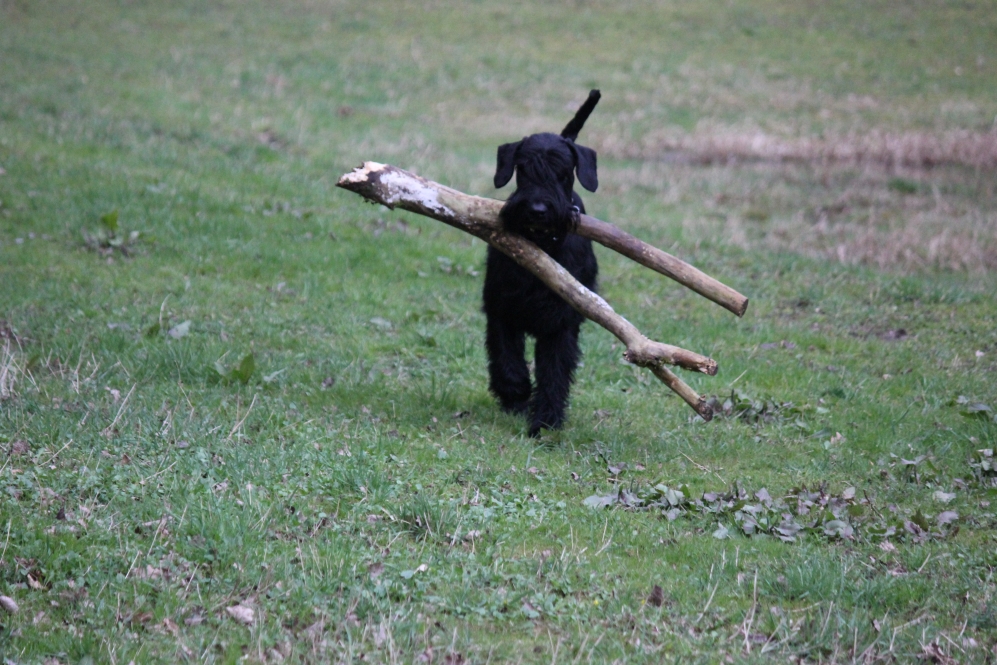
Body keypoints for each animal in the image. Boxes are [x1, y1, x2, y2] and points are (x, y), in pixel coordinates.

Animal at [482, 92, 600, 436]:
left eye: (563, 172)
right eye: (522, 170)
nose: (537, 210)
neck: (541, 248)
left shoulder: (561, 322)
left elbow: (554, 371)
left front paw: (546, 421)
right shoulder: (500, 307)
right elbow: (507, 358)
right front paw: (516, 394)